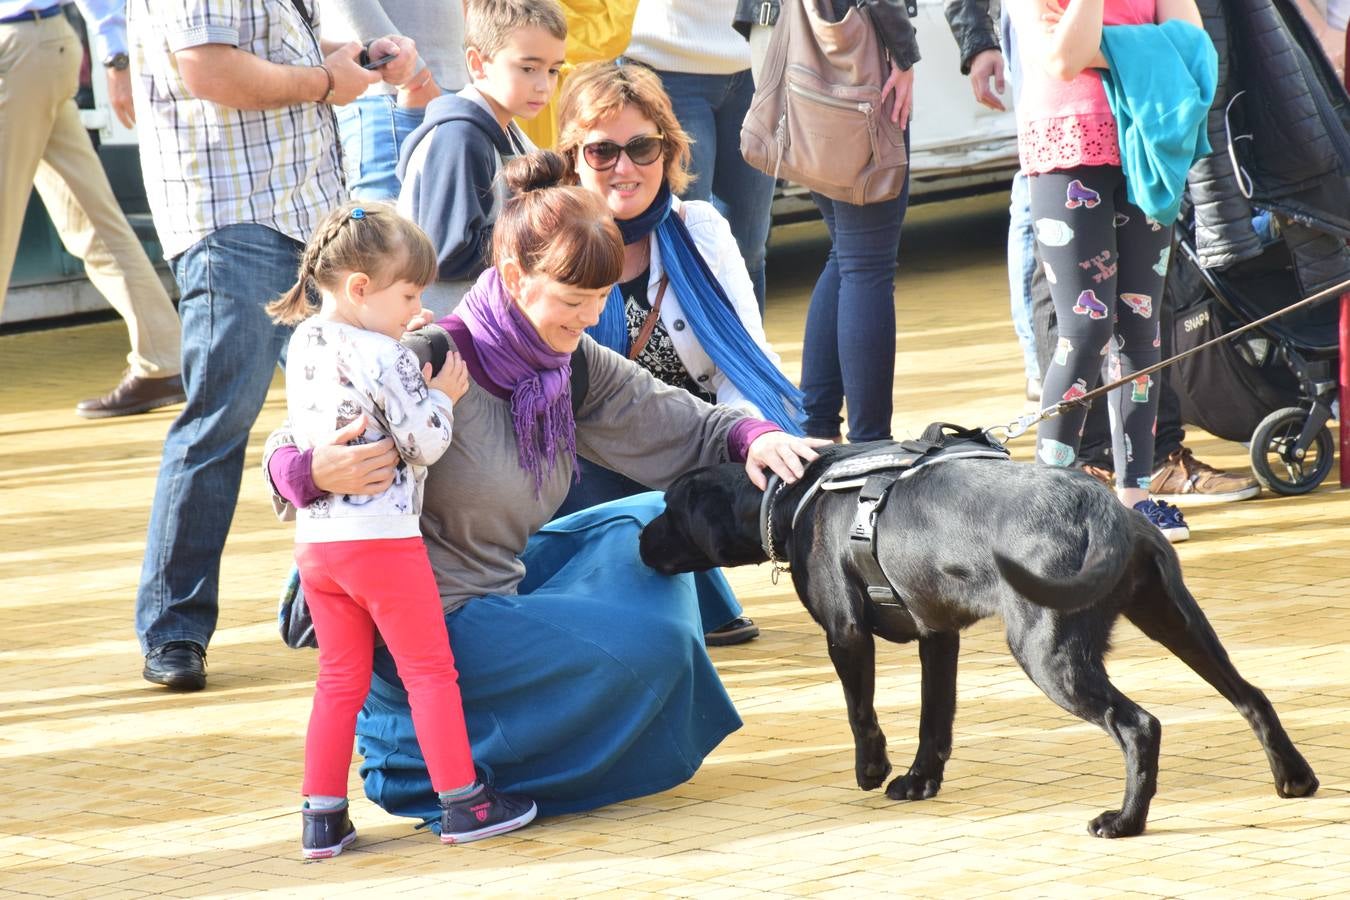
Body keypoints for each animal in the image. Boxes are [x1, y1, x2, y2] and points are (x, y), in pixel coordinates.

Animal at [639, 447, 1317, 841]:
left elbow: (862, 712)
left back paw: (1125, 821)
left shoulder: (846, 632)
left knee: (1140, 725)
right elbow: (934, 722)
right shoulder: (937, 636)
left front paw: (872, 770)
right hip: (1175, 620)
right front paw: (918, 782)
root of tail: (1102, 508)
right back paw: (1295, 779)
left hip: (1047, 652)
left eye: (669, 508)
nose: (638, 543)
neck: (792, 495)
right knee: (1251, 695)